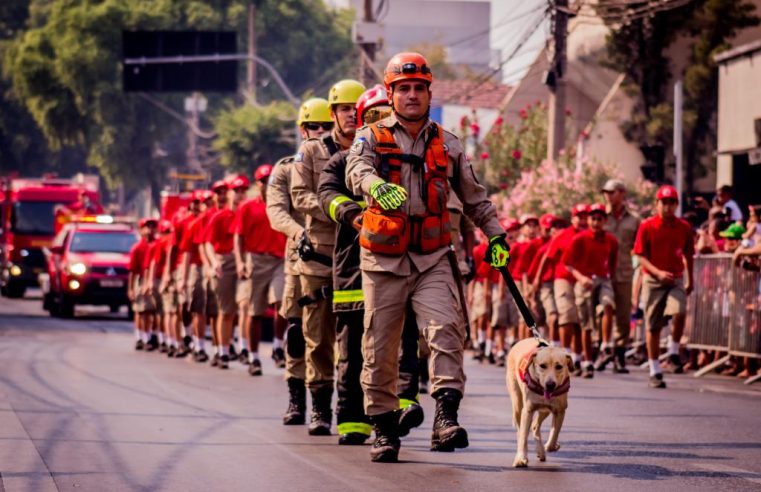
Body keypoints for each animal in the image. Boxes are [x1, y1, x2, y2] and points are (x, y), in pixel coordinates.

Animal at [504, 338, 568, 468]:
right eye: (542, 366)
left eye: (559, 366)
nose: (550, 384)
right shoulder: (528, 410)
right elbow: (523, 436)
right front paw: (521, 458)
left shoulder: (560, 410)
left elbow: (555, 433)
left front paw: (550, 446)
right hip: (517, 403)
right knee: (520, 430)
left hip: (545, 410)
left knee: (535, 425)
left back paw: (541, 451)